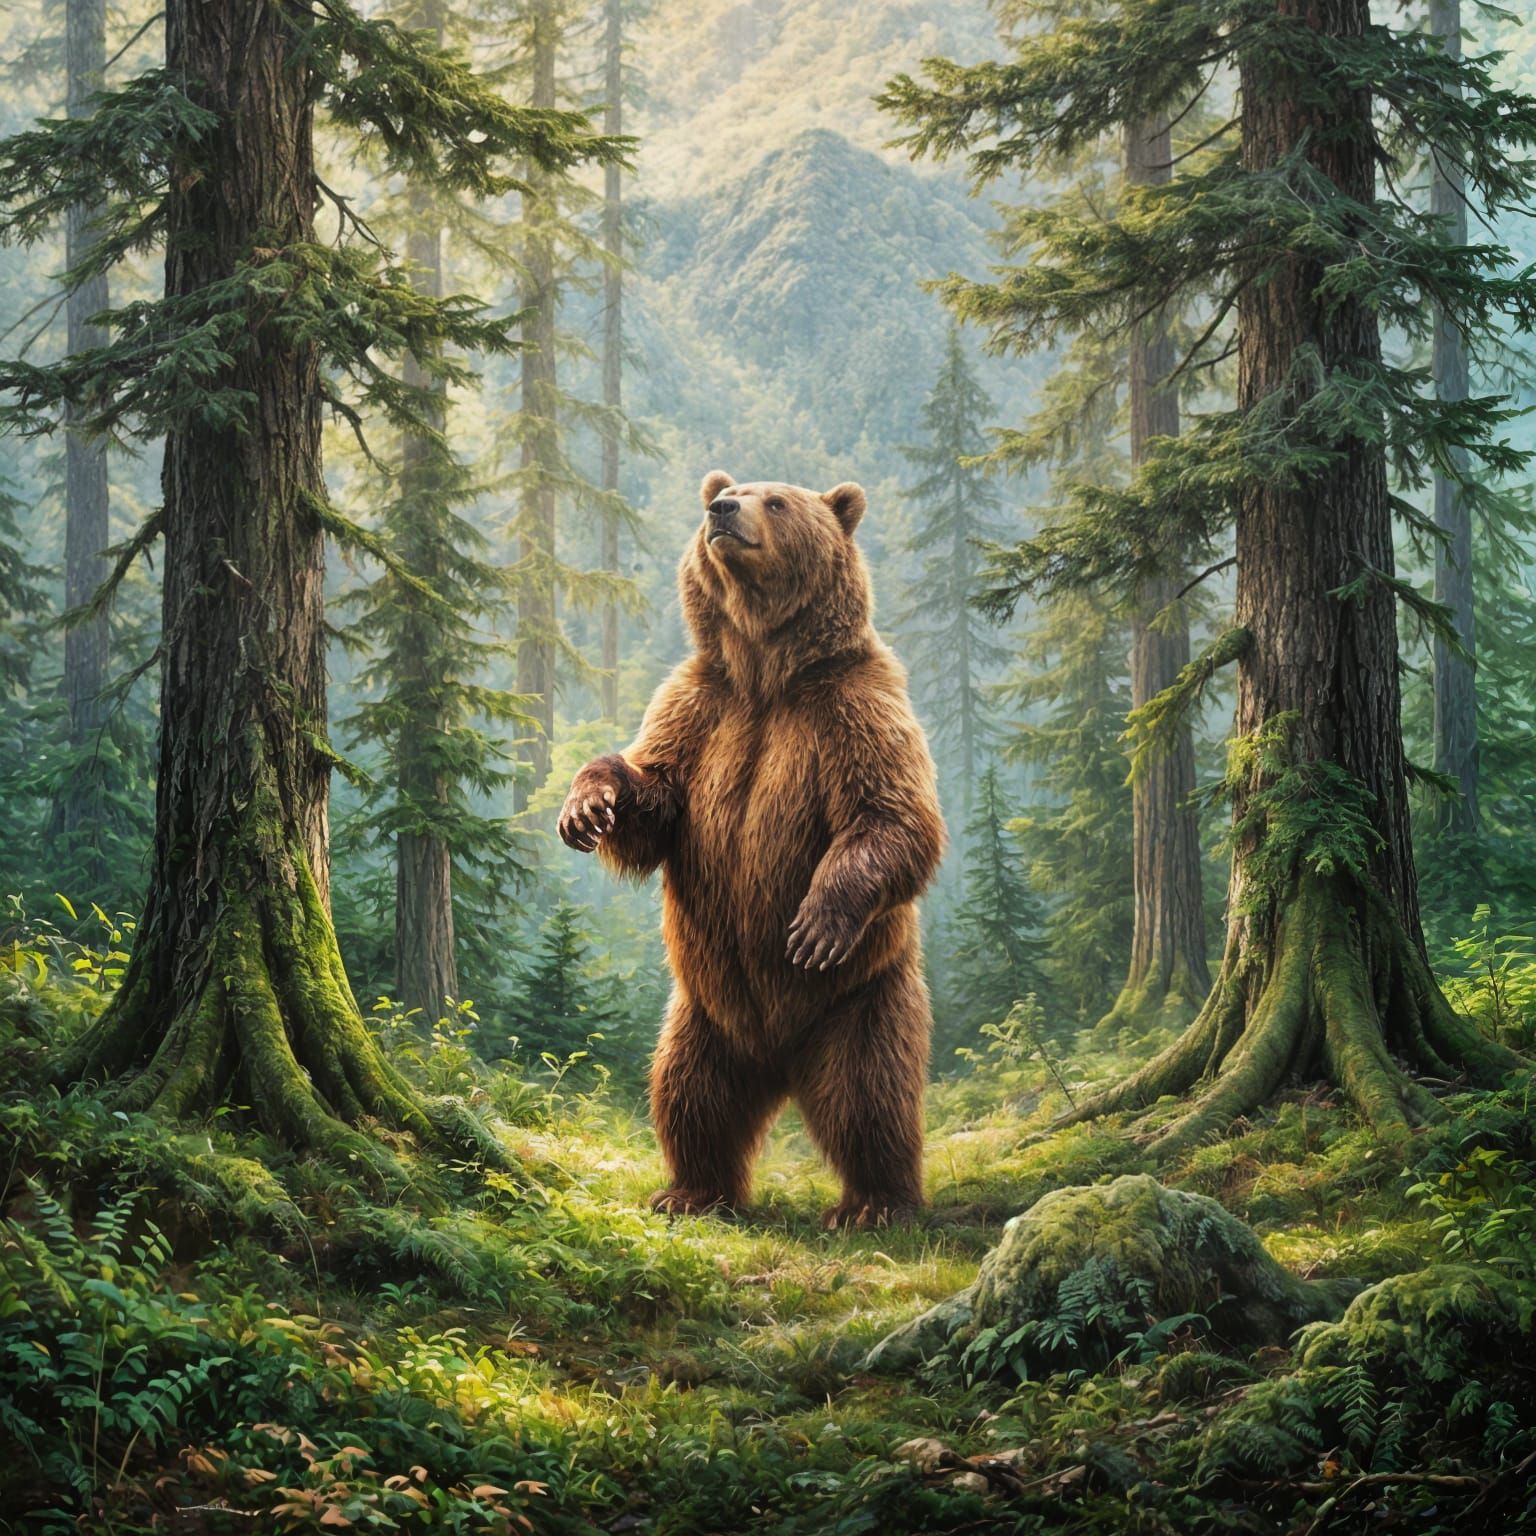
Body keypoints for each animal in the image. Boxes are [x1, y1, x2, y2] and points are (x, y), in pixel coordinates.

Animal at [558, 471, 946, 1228]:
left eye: (777, 500)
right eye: (732, 486)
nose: (721, 508)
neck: (768, 669)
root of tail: (781, 1063)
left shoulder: (853, 704)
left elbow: (891, 816)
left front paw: (817, 923)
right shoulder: (701, 704)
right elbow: (655, 797)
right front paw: (588, 805)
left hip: (860, 999)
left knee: (870, 1095)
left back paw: (874, 1203)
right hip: (705, 1013)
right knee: (688, 1093)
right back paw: (690, 1190)